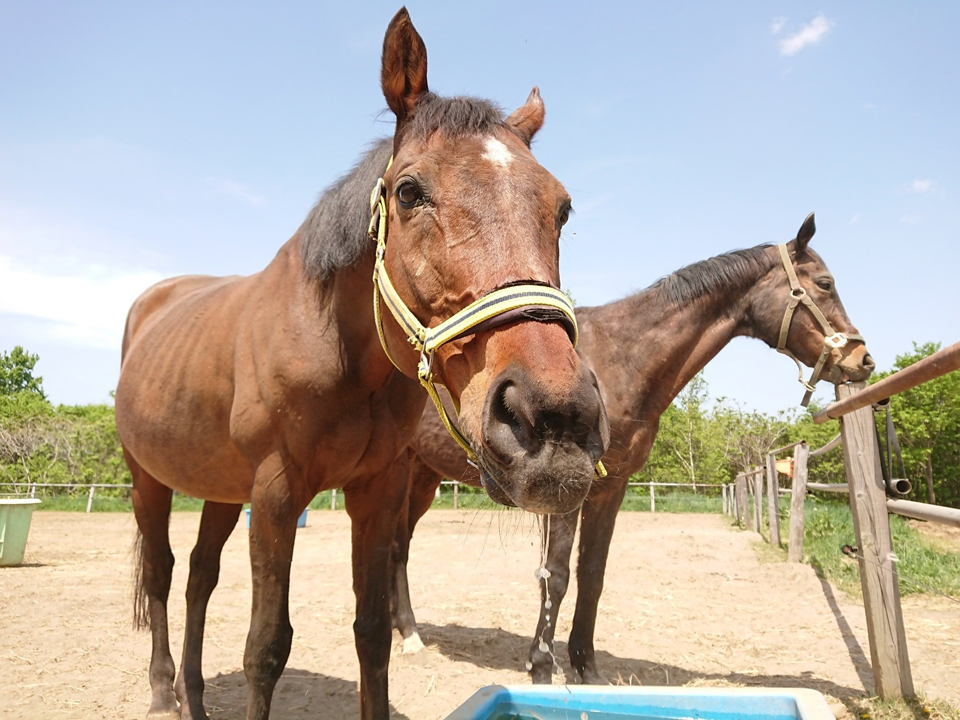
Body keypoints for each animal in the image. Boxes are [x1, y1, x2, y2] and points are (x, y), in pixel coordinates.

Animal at [114, 11, 608, 720]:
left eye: (561, 207)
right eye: (409, 192)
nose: (556, 420)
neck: (337, 353)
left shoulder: (376, 490)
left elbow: (372, 633)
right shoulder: (275, 494)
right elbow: (266, 646)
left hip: (218, 490)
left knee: (200, 581)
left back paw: (194, 697)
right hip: (147, 481)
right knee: (161, 575)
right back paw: (162, 693)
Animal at [386, 214, 872, 680]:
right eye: (825, 284)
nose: (862, 360)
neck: (620, 360)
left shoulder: (610, 489)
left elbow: (592, 575)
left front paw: (586, 667)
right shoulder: (563, 492)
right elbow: (555, 576)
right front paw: (541, 665)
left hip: (422, 476)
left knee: (399, 549)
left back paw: (402, 630)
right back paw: (408, 634)